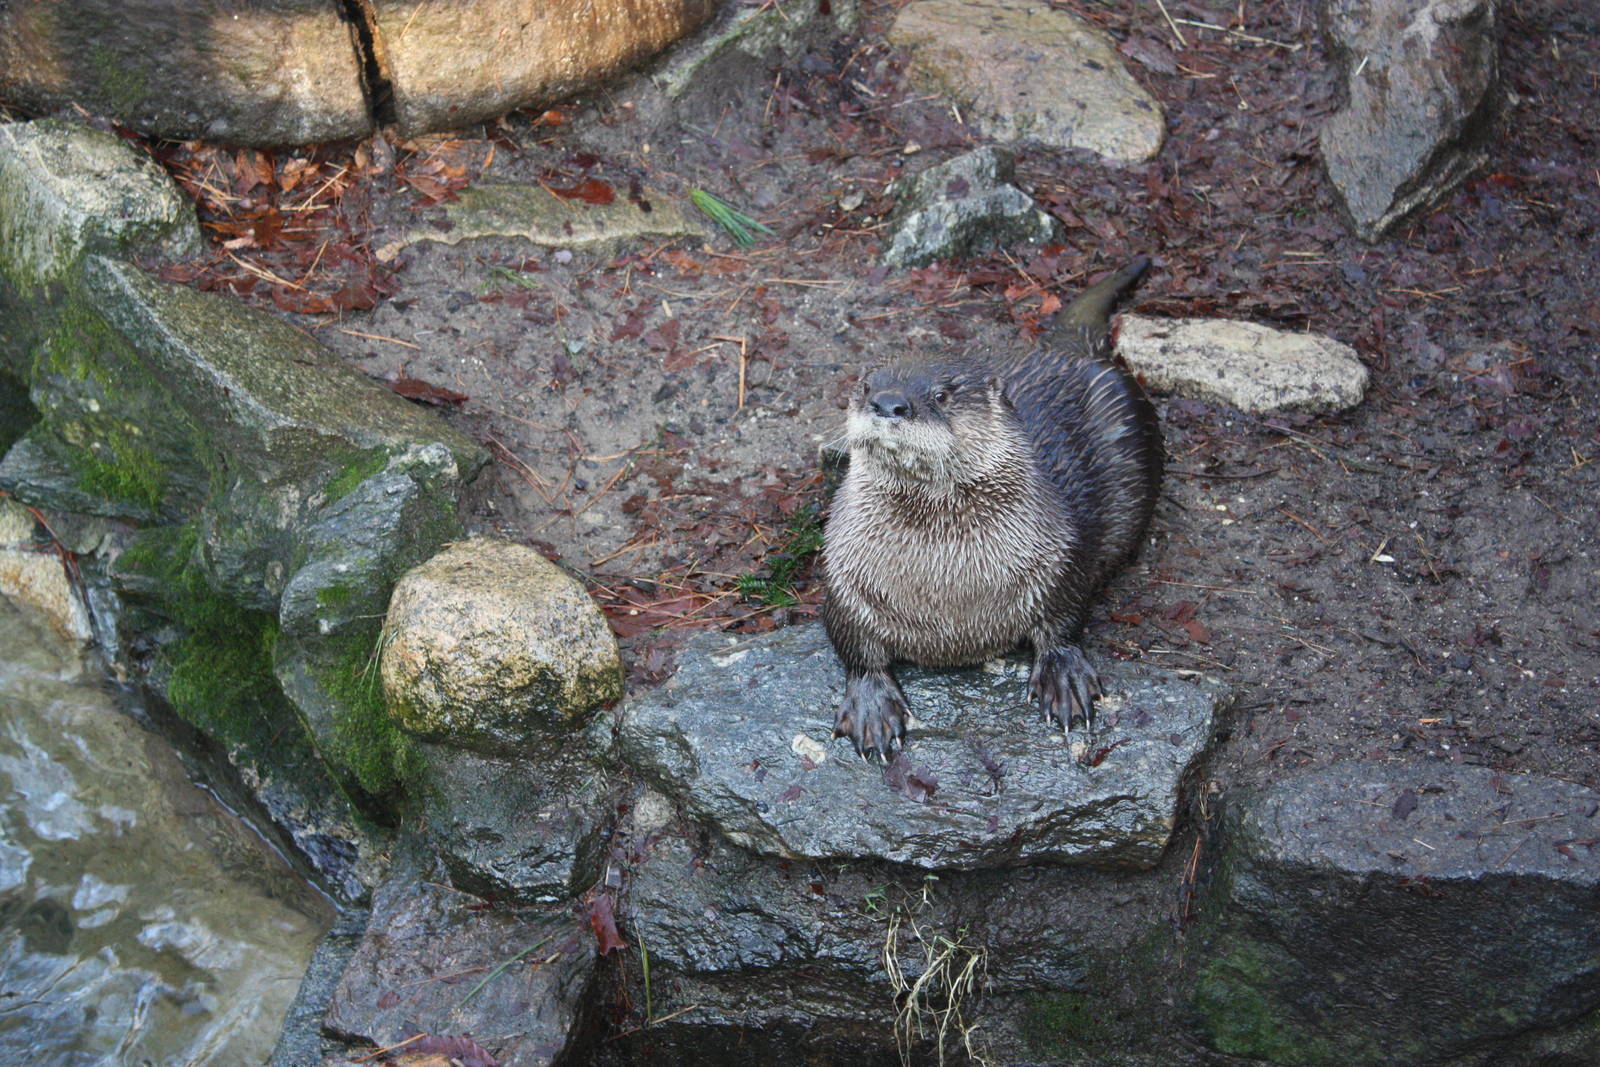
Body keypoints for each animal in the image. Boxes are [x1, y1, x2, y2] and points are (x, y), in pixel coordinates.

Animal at [822, 257, 1161, 761]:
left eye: (942, 394)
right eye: (864, 387)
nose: (887, 402)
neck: (948, 596)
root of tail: (1064, 349)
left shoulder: (1062, 558)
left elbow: (1065, 622)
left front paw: (1063, 675)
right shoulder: (843, 579)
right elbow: (853, 648)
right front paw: (871, 705)